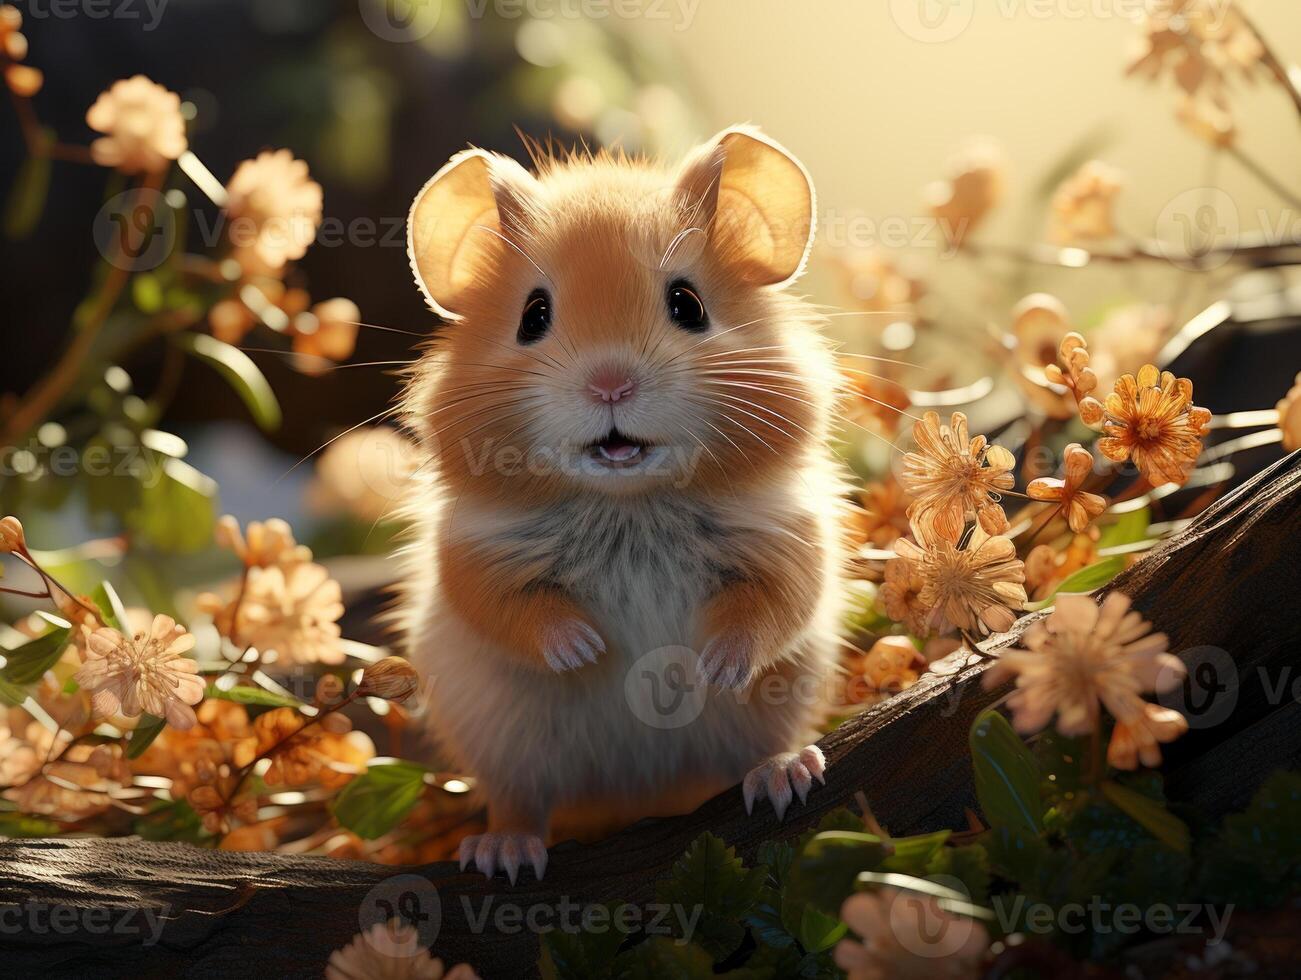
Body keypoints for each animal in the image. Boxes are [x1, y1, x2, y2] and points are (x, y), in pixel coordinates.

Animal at [392, 126, 843, 884]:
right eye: (533, 316)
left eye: (687, 304)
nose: (610, 384)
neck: (629, 502)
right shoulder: (475, 558)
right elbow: (517, 612)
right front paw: (587, 649)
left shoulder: (788, 541)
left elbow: (769, 609)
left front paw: (705, 666)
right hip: (504, 742)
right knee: (519, 804)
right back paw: (503, 853)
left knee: (760, 749)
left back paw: (785, 774)